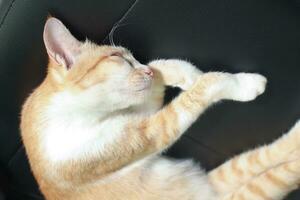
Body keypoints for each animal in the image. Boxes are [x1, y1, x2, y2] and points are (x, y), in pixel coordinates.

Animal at [20, 17, 300, 200]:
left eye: (131, 58)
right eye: (118, 57)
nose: (145, 71)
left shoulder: (144, 110)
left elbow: (162, 66)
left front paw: (188, 74)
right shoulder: (150, 133)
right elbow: (206, 86)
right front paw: (242, 83)